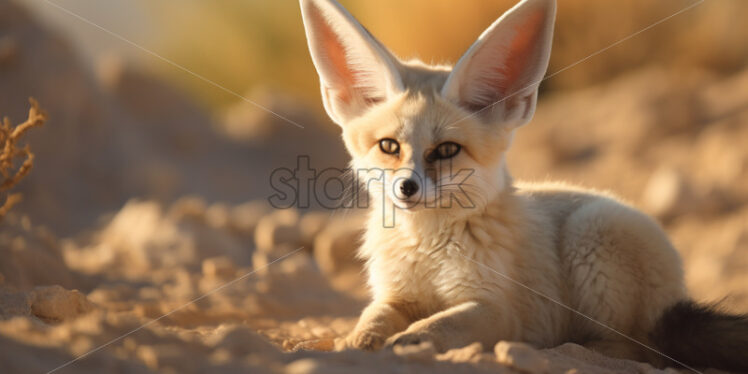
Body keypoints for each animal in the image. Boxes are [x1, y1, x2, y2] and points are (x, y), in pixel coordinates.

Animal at [298, 0, 748, 370]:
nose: (406, 188)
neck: (428, 249)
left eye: (446, 150)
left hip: (593, 233)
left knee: (640, 349)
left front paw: (409, 342)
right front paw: (357, 343)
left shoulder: (497, 307)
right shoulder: (396, 295)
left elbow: (440, 325)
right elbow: (372, 318)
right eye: (389, 146)